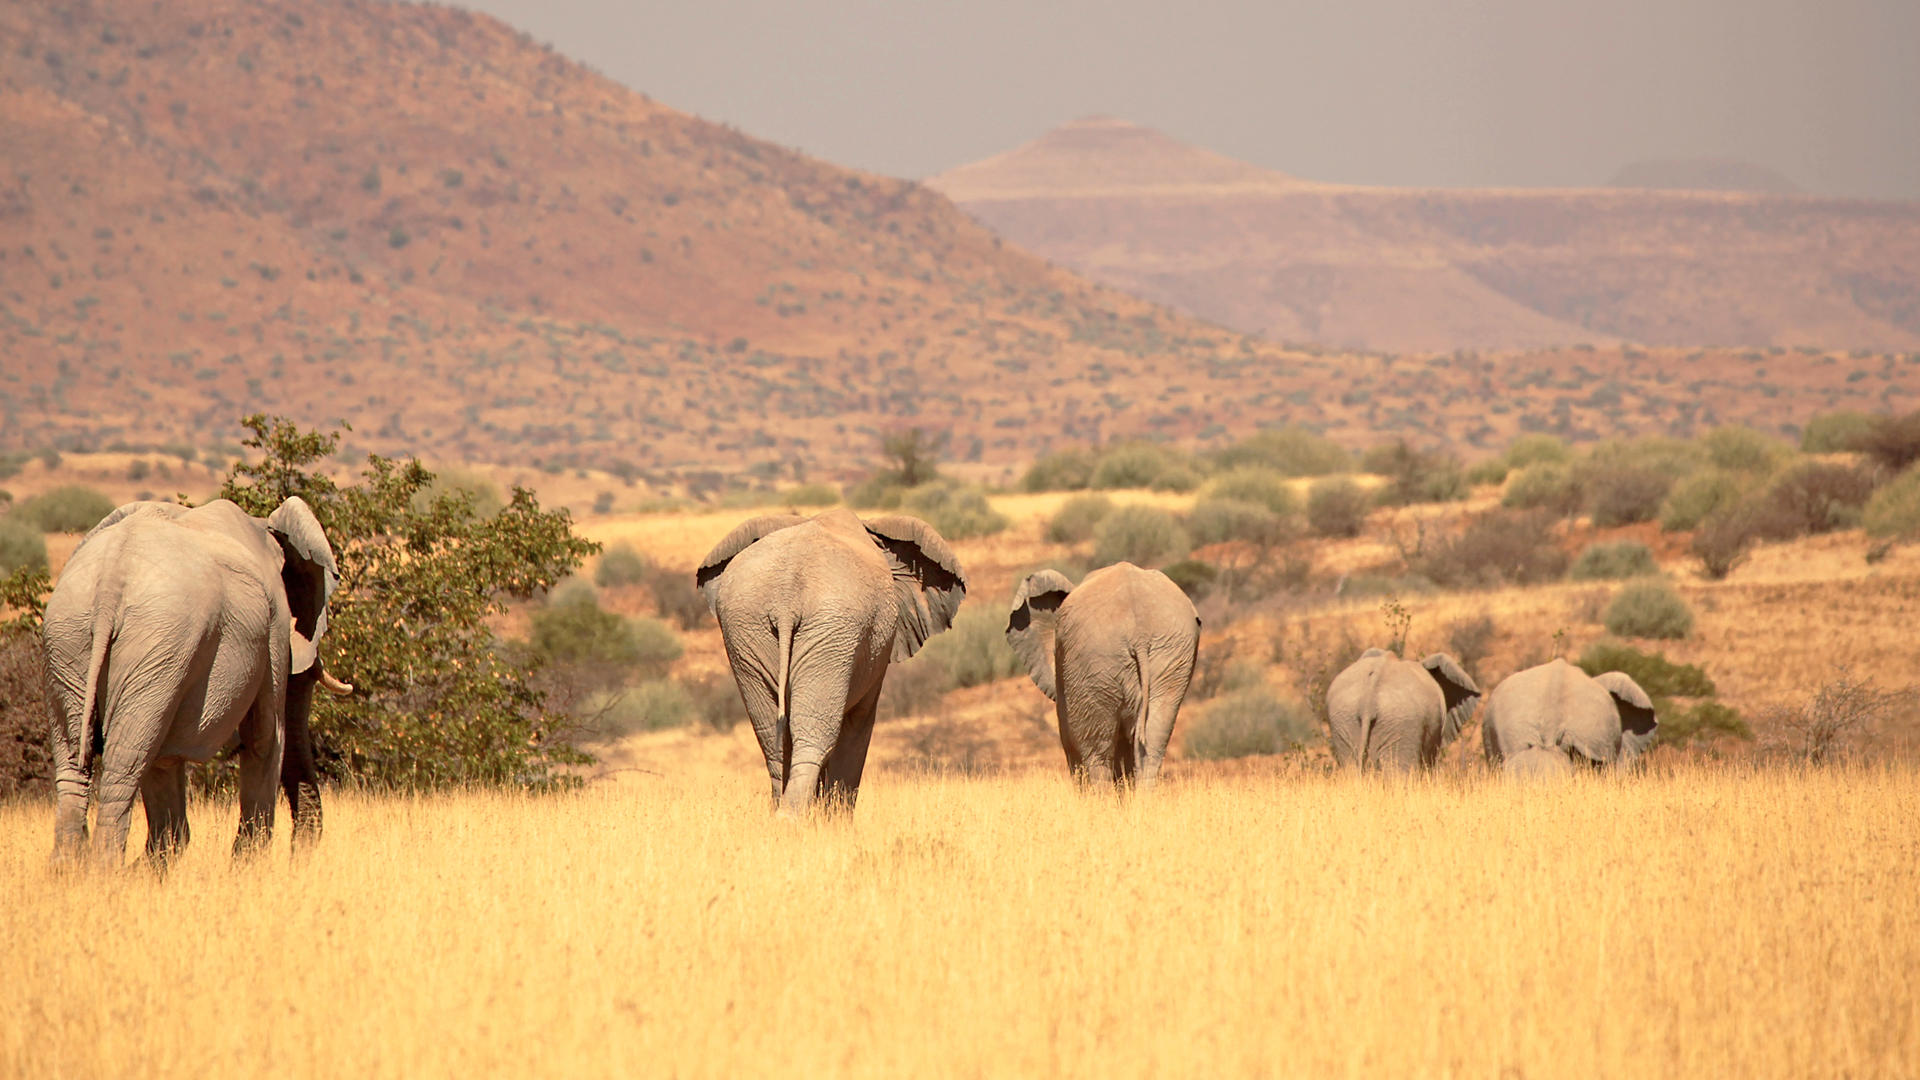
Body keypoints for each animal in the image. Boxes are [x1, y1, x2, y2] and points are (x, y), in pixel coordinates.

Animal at [43, 495, 351, 864]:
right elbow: (265, 736)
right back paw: (106, 870)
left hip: (72, 638)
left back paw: (71, 870)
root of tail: (110, 580)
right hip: (159, 640)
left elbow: (166, 759)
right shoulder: (273, 624)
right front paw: (246, 865)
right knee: (126, 763)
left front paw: (162, 858)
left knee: (79, 761)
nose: (298, 855)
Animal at [695, 507, 975, 810]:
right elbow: (858, 724)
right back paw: (792, 817)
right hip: (832, 628)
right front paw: (836, 818)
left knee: (773, 740)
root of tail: (786, 599)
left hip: (748, 628)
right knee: (815, 735)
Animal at [1006, 564, 1198, 791]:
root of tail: (1139, 634)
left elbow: (1070, 740)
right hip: (1171, 656)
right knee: (1152, 744)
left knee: (1096, 754)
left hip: (1094, 661)